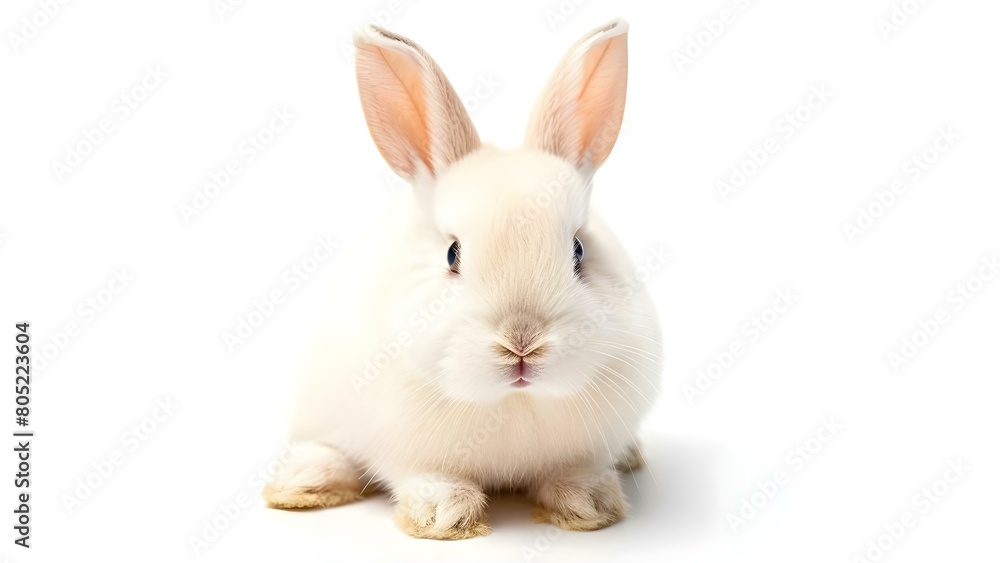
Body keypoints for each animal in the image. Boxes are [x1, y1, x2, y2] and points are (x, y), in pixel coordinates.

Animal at [262, 18, 663, 540]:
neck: (512, 404)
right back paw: (303, 479)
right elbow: (425, 477)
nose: (521, 342)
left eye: (578, 250)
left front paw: (588, 503)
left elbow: (572, 471)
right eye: (452, 254)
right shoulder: (407, 451)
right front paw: (444, 514)